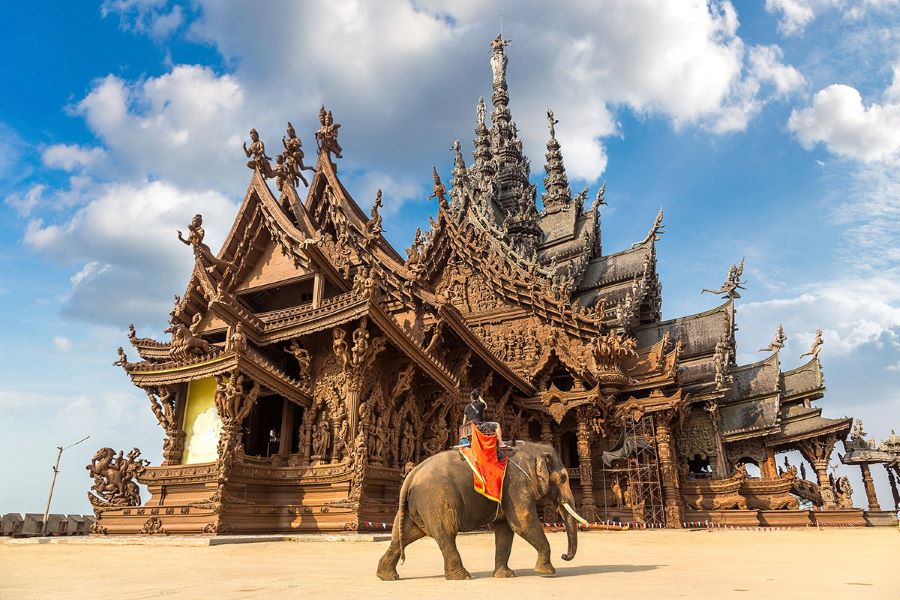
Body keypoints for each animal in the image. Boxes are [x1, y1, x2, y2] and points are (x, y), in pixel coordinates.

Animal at [374, 440, 580, 580]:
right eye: (563, 478)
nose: (564, 555)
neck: (531, 448)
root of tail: (411, 475)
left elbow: (504, 529)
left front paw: (505, 575)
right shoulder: (516, 484)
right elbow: (522, 522)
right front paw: (547, 572)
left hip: (415, 507)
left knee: (403, 535)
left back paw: (387, 576)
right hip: (436, 501)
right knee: (446, 534)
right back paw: (462, 577)